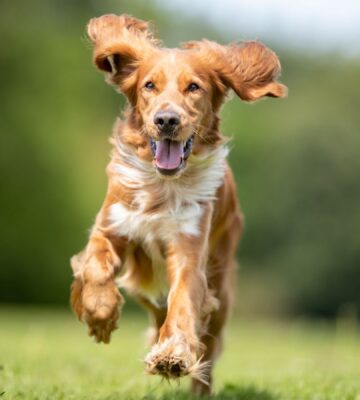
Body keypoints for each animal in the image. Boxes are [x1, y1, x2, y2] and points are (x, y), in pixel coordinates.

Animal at [69, 14, 286, 396]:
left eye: (194, 87)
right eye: (149, 85)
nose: (167, 120)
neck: (162, 187)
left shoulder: (188, 251)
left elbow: (184, 302)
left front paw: (172, 355)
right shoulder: (111, 227)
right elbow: (94, 267)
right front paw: (100, 315)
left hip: (222, 284)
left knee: (208, 341)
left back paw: (199, 384)